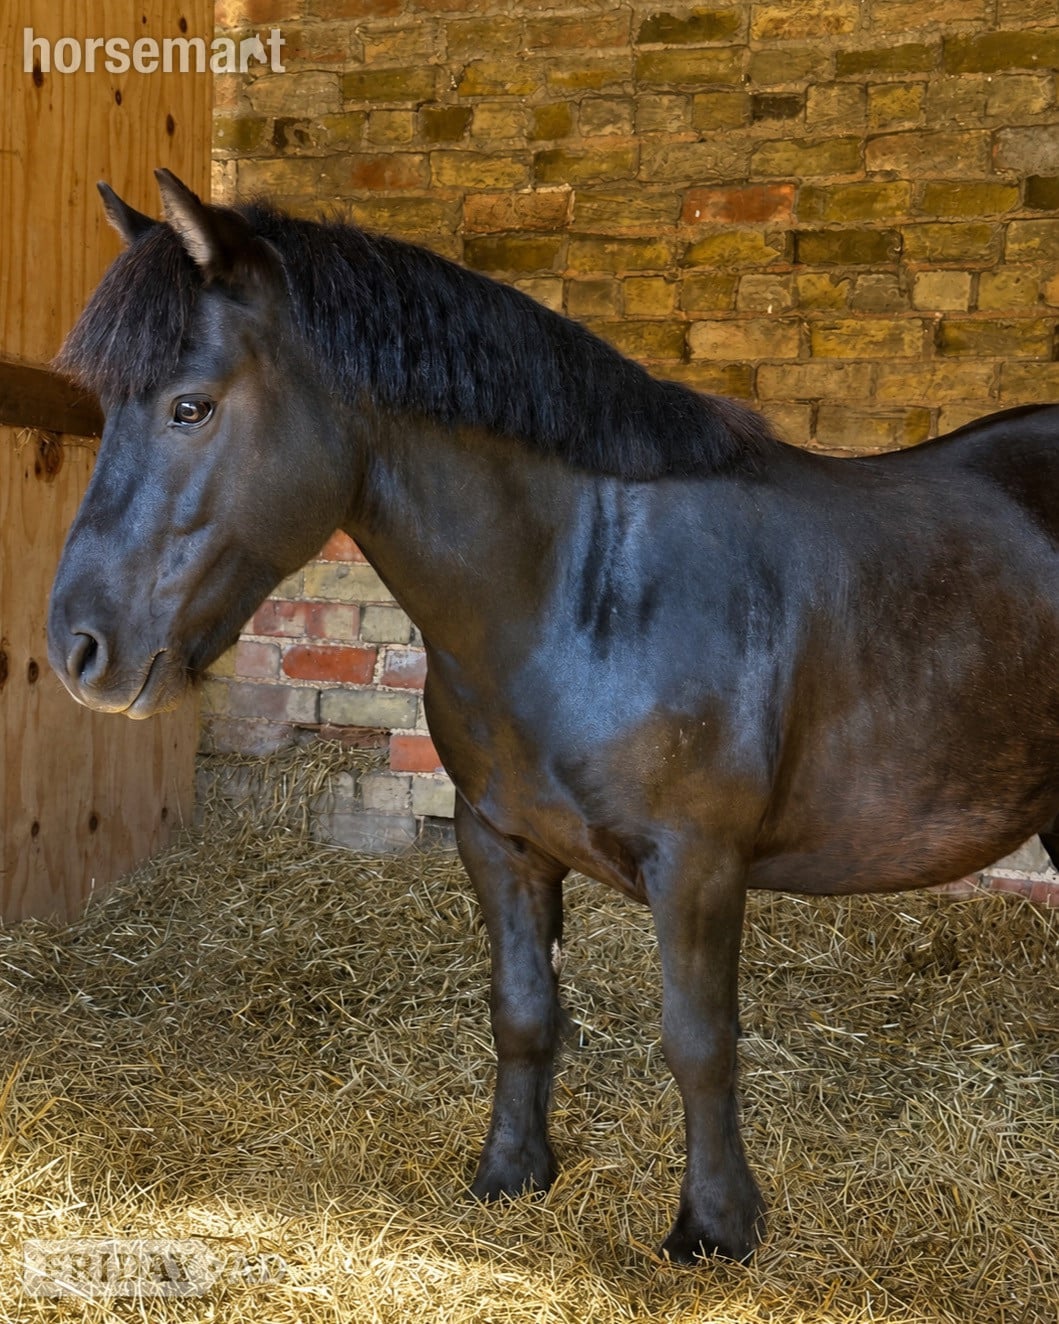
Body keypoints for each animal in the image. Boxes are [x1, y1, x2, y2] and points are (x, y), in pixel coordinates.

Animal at [48, 170, 1059, 1264]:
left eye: (189, 407)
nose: (78, 647)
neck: (587, 589)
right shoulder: (500, 843)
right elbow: (523, 1013)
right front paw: (511, 1173)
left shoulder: (697, 863)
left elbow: (699, 1040)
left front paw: (715, 1227)